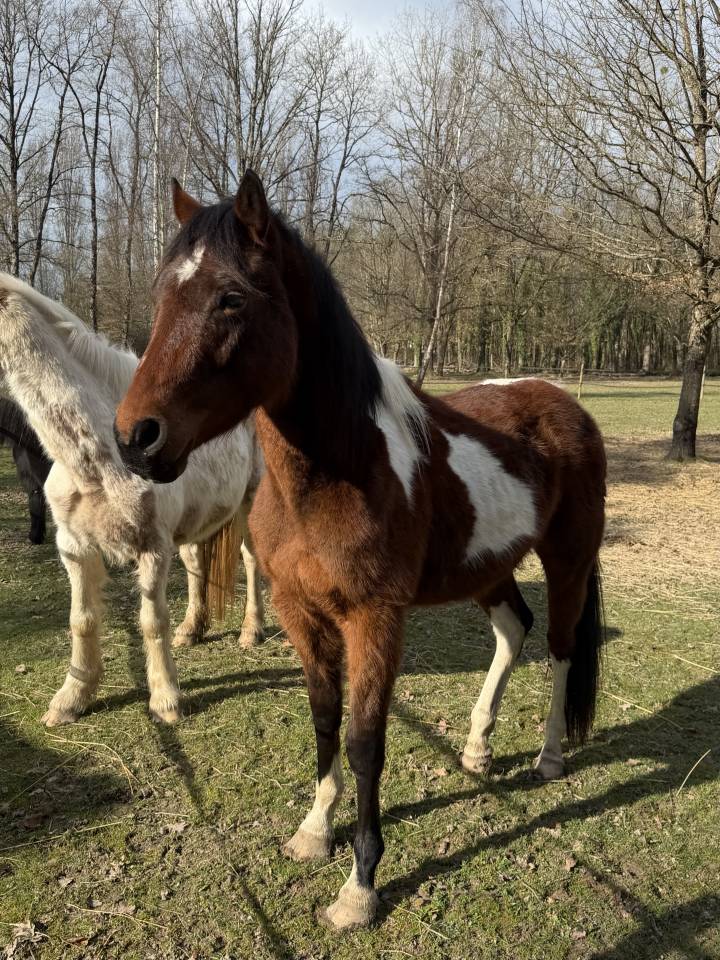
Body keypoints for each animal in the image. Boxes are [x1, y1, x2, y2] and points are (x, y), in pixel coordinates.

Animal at [113, 172, 606, 930]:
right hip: (487, 567)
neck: (335, 473)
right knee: (512, 630)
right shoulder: (301, 611)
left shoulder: (374, 619)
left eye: (231, 298)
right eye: (164, 294)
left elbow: (365, 740)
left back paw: (549, 756)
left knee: (559, 647)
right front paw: (315, 831)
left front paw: (361, 884)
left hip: (568, 561)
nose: (135, 437)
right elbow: (324, 721)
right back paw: (477, 747)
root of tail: (567, 406)